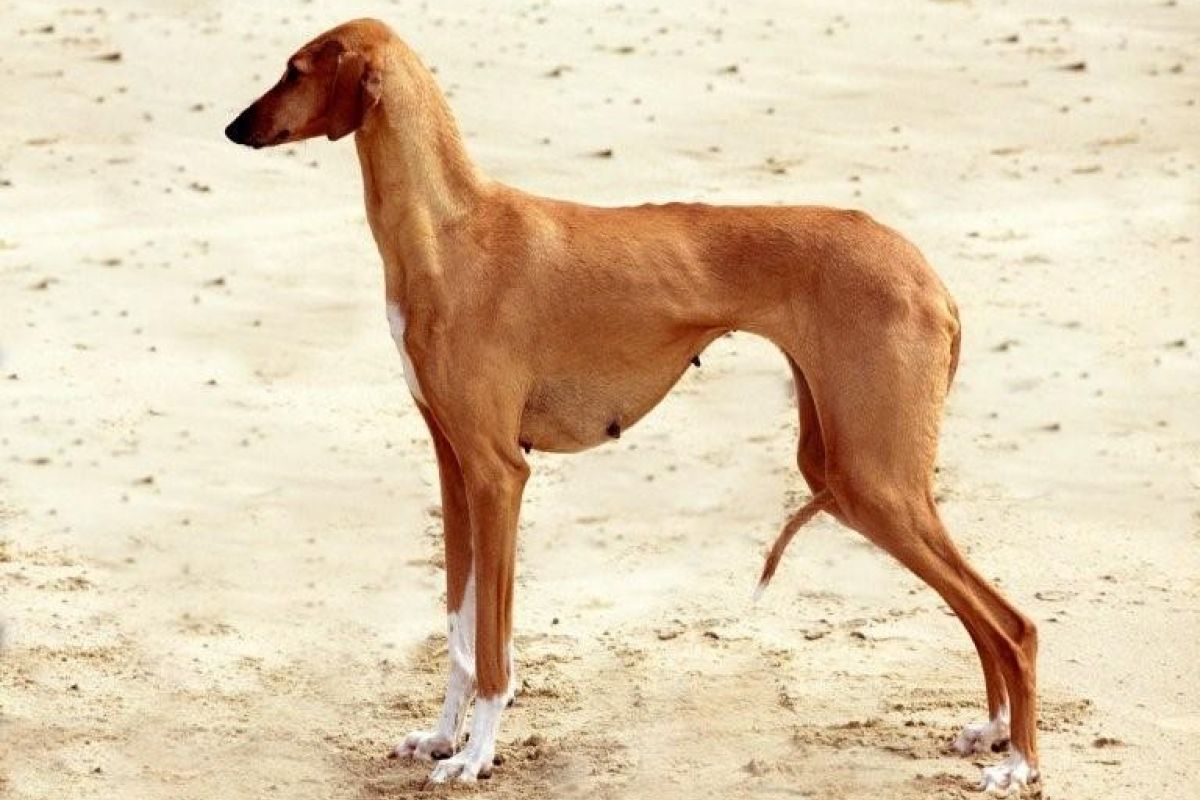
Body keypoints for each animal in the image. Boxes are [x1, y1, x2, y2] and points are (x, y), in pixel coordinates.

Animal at [226, 18, 1040, 793]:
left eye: (293, 70)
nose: (233, 129)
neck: (448, 231)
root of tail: (930, 276)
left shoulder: (499, 474)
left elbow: (491, 647)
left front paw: (476, 756)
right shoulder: (455, 469)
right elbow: (460, 625)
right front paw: (442, 737)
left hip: (873, 480)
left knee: (1015, 625)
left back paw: (1020, 763)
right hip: (844, 471)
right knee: (980, 615)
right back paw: (994, 730)